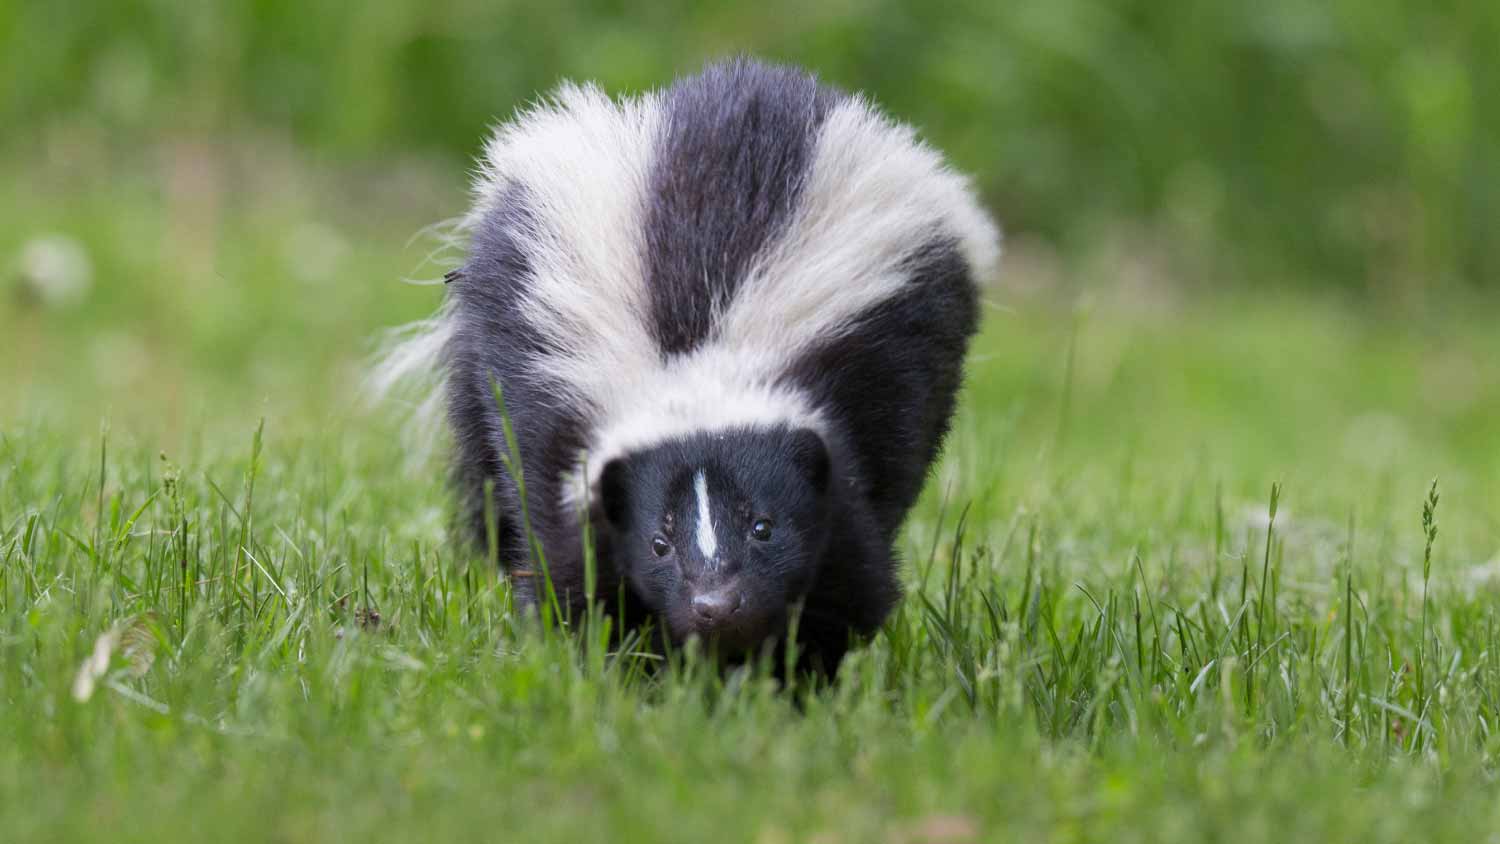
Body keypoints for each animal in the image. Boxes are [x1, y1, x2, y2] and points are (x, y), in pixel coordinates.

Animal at [381, 57, 1002, 674]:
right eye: (659, 543)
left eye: (763, 527)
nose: (715, 606)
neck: (697, 355)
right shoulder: (553, 417)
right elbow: (571, 567)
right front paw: (622, 665)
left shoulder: (850, 415)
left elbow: (847, 575)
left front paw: (791, 674)